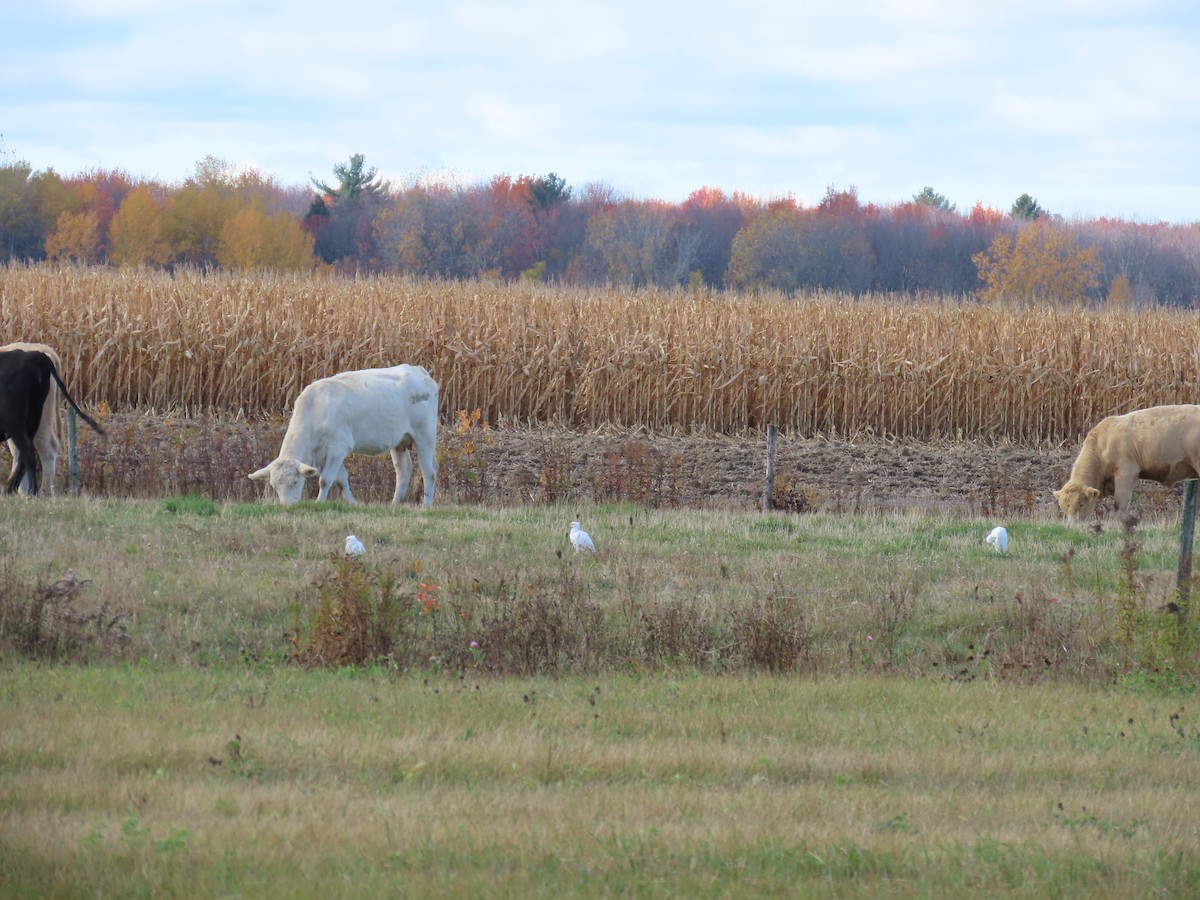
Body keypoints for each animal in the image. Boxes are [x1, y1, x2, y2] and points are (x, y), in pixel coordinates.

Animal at [248, 364, 439, 506]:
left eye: (295, 482)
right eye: (274, 486)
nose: (287, 506)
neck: (315, 410)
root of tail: (418, 370)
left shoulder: (338, 447)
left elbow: (325, 480)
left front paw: (319, 503)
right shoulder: (325, 452)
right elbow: (341, 480)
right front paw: (353, 503)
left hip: (425, 434)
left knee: (428, 470)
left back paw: (426, 505)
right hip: (400, 440)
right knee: (403, 471)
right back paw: (394, 504)